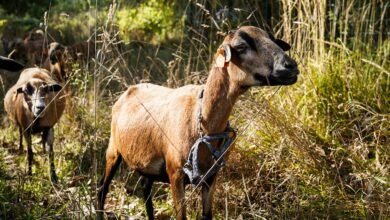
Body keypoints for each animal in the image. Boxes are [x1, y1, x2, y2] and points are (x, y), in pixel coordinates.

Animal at [96, 26, 298, 219]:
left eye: (274, 40)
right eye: (241, 46)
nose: (291, 67)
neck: (202, 120)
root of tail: (129, 90)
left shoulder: (211, 176)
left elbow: (206, 215)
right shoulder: (175, 173)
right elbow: (182, 216)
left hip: (147, 162)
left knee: (145, 189)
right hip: (113, 149)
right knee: (102, 187)